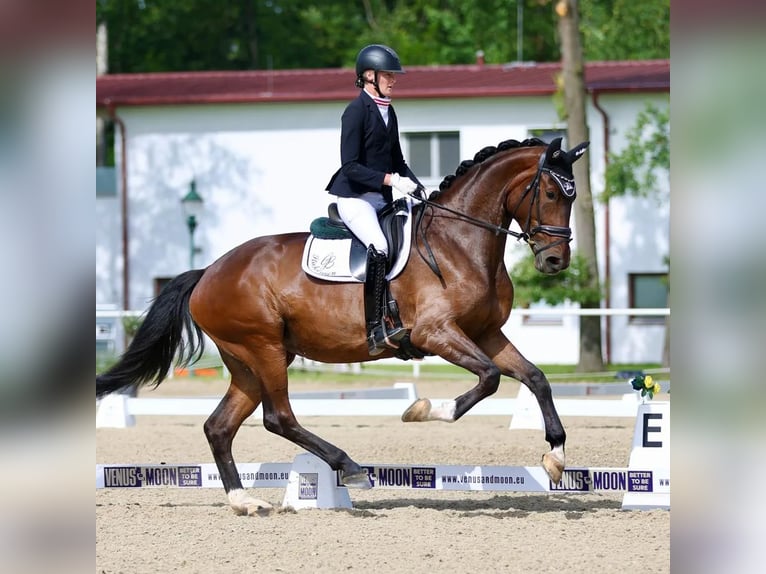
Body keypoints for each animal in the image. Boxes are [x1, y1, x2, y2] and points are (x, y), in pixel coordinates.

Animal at [96, 137, 588, 516]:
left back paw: (244, 501)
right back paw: (348, 466)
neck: (460, 243)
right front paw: (424, 410)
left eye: (572, 196)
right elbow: (488, 378)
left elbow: (535, 378)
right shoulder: (435, 333)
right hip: (263, 348)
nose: (555, 261)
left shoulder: (486, 333)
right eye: (549, 192)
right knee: (278, 417)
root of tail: (207, 272)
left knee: (219, 426)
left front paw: (556, 457)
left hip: (248, 361)